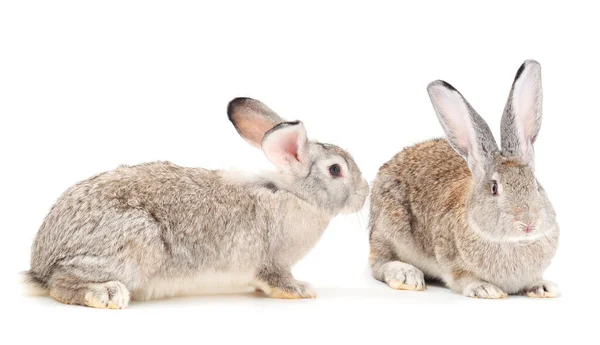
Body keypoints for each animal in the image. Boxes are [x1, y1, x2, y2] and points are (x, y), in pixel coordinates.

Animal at [22, 98, 370, 308]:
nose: (364, 192)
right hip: (134, 242)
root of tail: (40, 264)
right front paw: (302, 290)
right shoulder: (273, 261)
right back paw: (105, 293)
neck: (295, 195)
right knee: (61, 283)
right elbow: (277, 279)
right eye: (335, 170)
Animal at [368, 60, 560, 296]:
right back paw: (407, 276)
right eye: (494, 188)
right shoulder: (451, 261)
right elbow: (463, 279)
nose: (528, 223)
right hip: (388, 230)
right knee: (378, 262)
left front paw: (543, 287)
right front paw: (486, 290)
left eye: (535, 184)